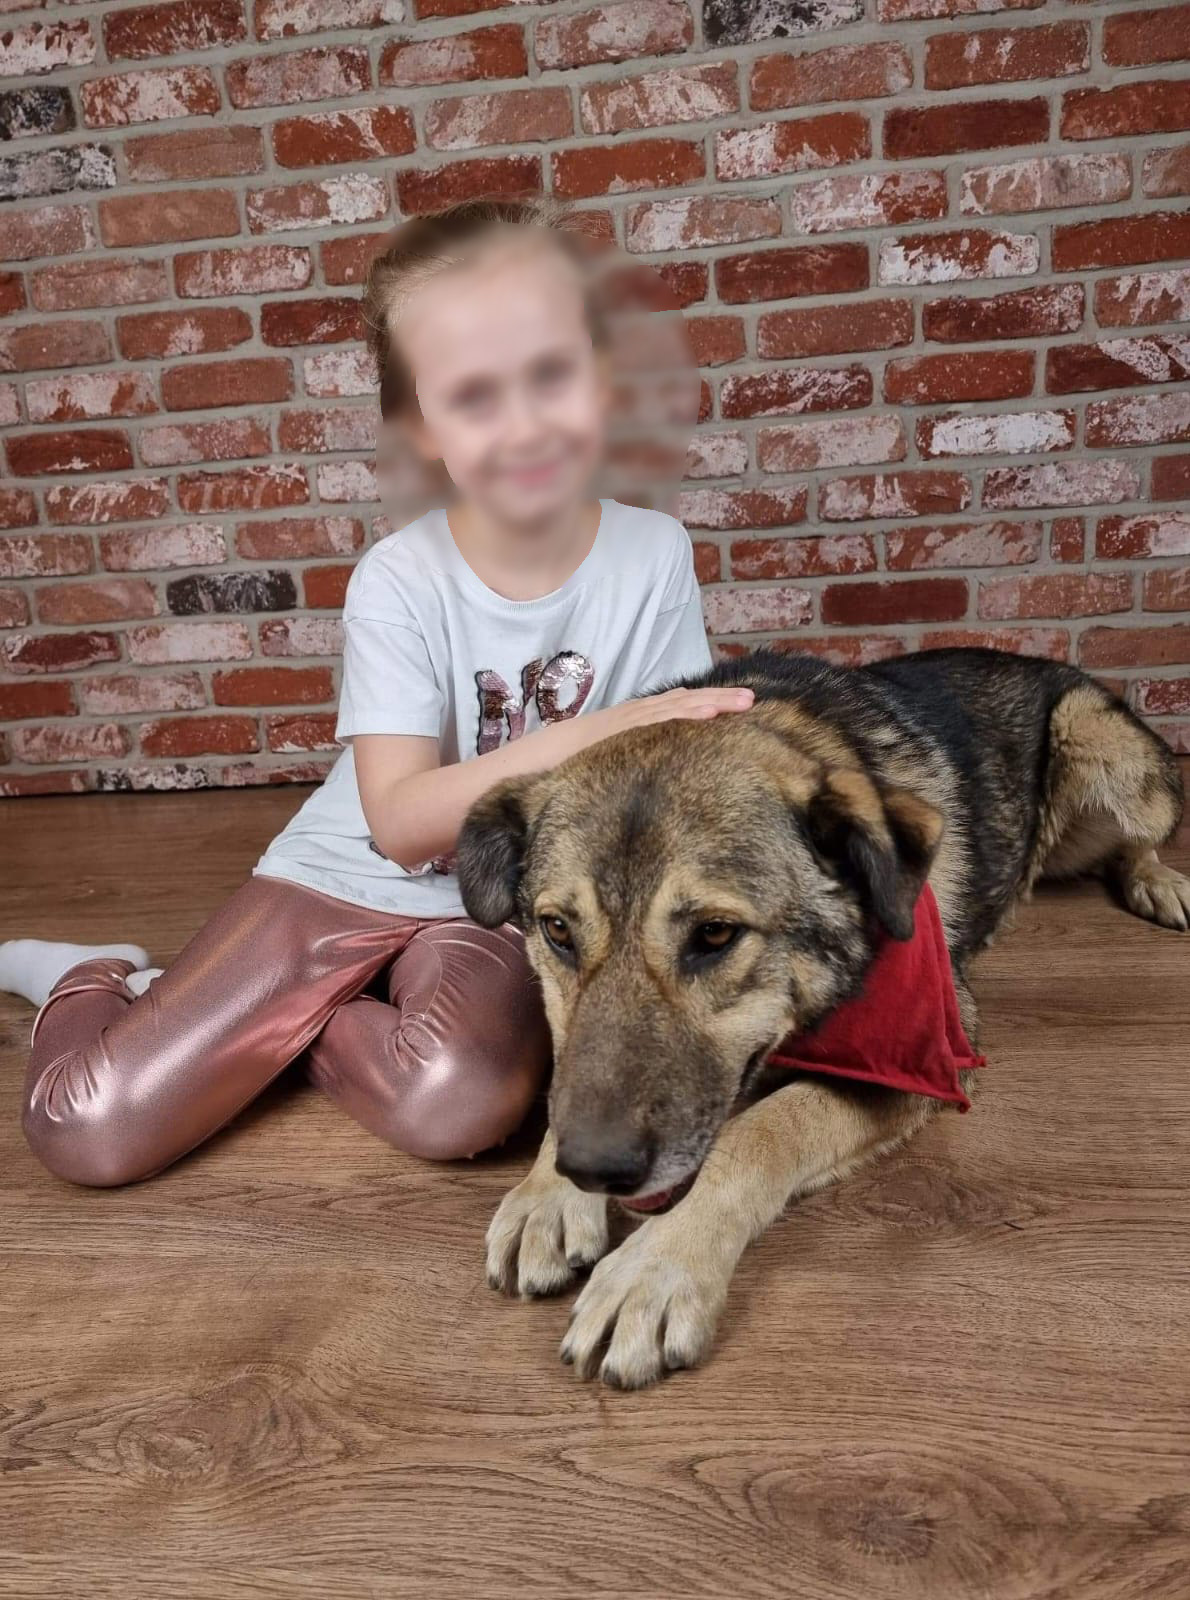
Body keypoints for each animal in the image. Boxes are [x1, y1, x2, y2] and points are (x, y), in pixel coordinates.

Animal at [456, 647, 1188, 1388]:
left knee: (1136, 843)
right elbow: (566, 1071)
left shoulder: (925, 1058)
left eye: (716, 934)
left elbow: (761, 1131)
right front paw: (545, 1194)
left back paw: (1158, 882)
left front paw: (656, 1269)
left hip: (1108, 757)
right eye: (556, 931)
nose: (592, 1170)